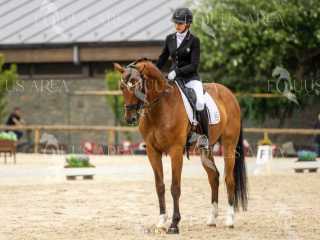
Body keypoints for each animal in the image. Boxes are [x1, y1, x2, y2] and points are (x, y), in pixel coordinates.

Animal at [113, 58, 248, 234]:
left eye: (136, 85)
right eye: (122, 87)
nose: (130, 118)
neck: (160, 106)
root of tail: (230, 94)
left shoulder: (176, 151)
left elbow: (175, 187)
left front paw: (174, 224)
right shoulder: (152, 151)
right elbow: (160, 186)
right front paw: (161, 222)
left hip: (229, 145)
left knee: (229, 179)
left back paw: (230, 220)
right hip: (206, 149)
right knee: (214, 178)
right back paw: (212, 219)